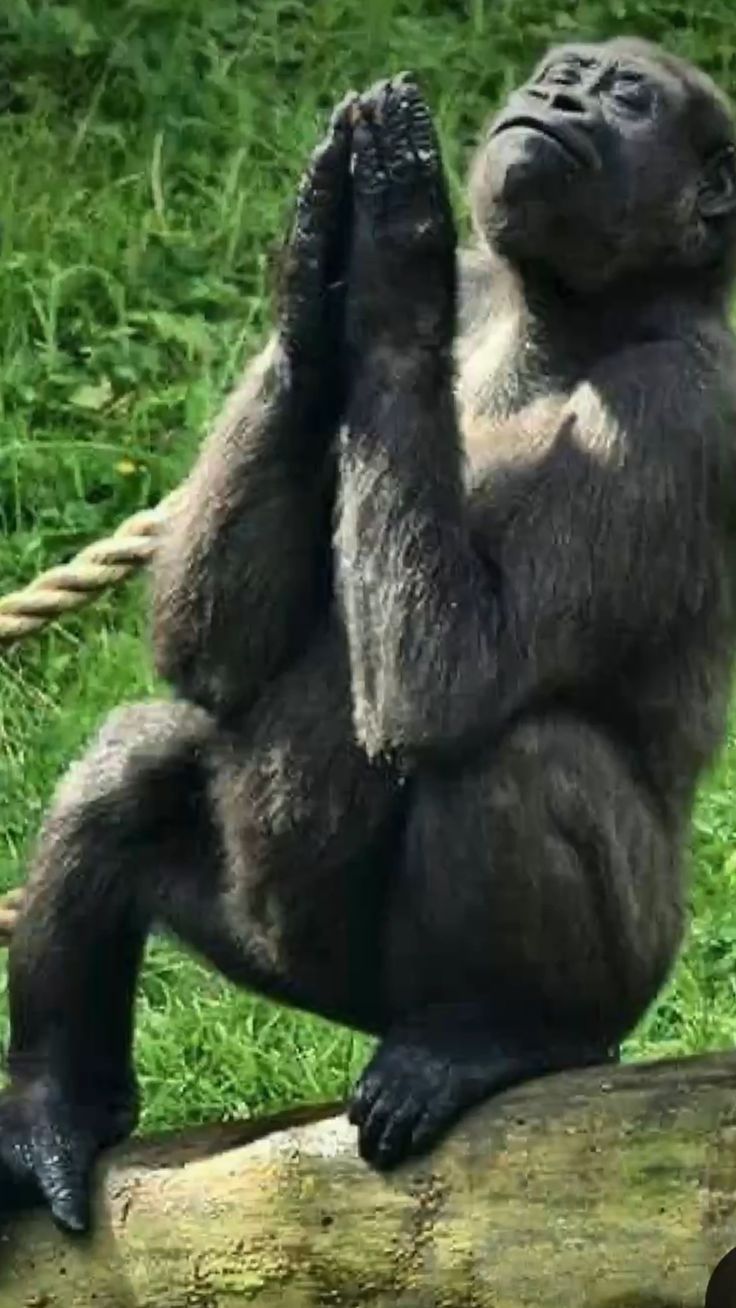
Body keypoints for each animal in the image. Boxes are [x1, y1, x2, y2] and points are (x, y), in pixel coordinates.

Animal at [2, 37, 736, 1235]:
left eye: (626, 97)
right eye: (565, 71)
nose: (557, 98)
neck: (560, 315)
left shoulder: (677, 408)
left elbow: (456, 686)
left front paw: (394, 257)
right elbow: (207, 652)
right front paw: (317, 269)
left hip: (620, 988)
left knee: (518, 756)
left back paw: (501, 1037)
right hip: (284, 966)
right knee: (138, 753)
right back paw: (53, 1103)